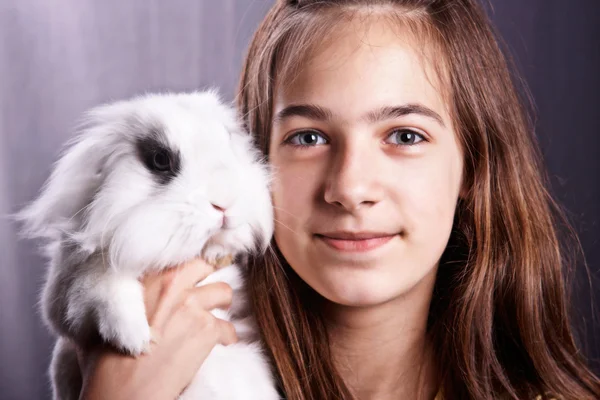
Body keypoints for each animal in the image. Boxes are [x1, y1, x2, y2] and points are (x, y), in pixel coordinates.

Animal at [15, 90, 278, 400]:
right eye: (160, 159)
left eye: (228, 143)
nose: (224, 202)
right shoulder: (68, 292)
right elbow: (103, 287)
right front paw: (136, 341)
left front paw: (218, 252)